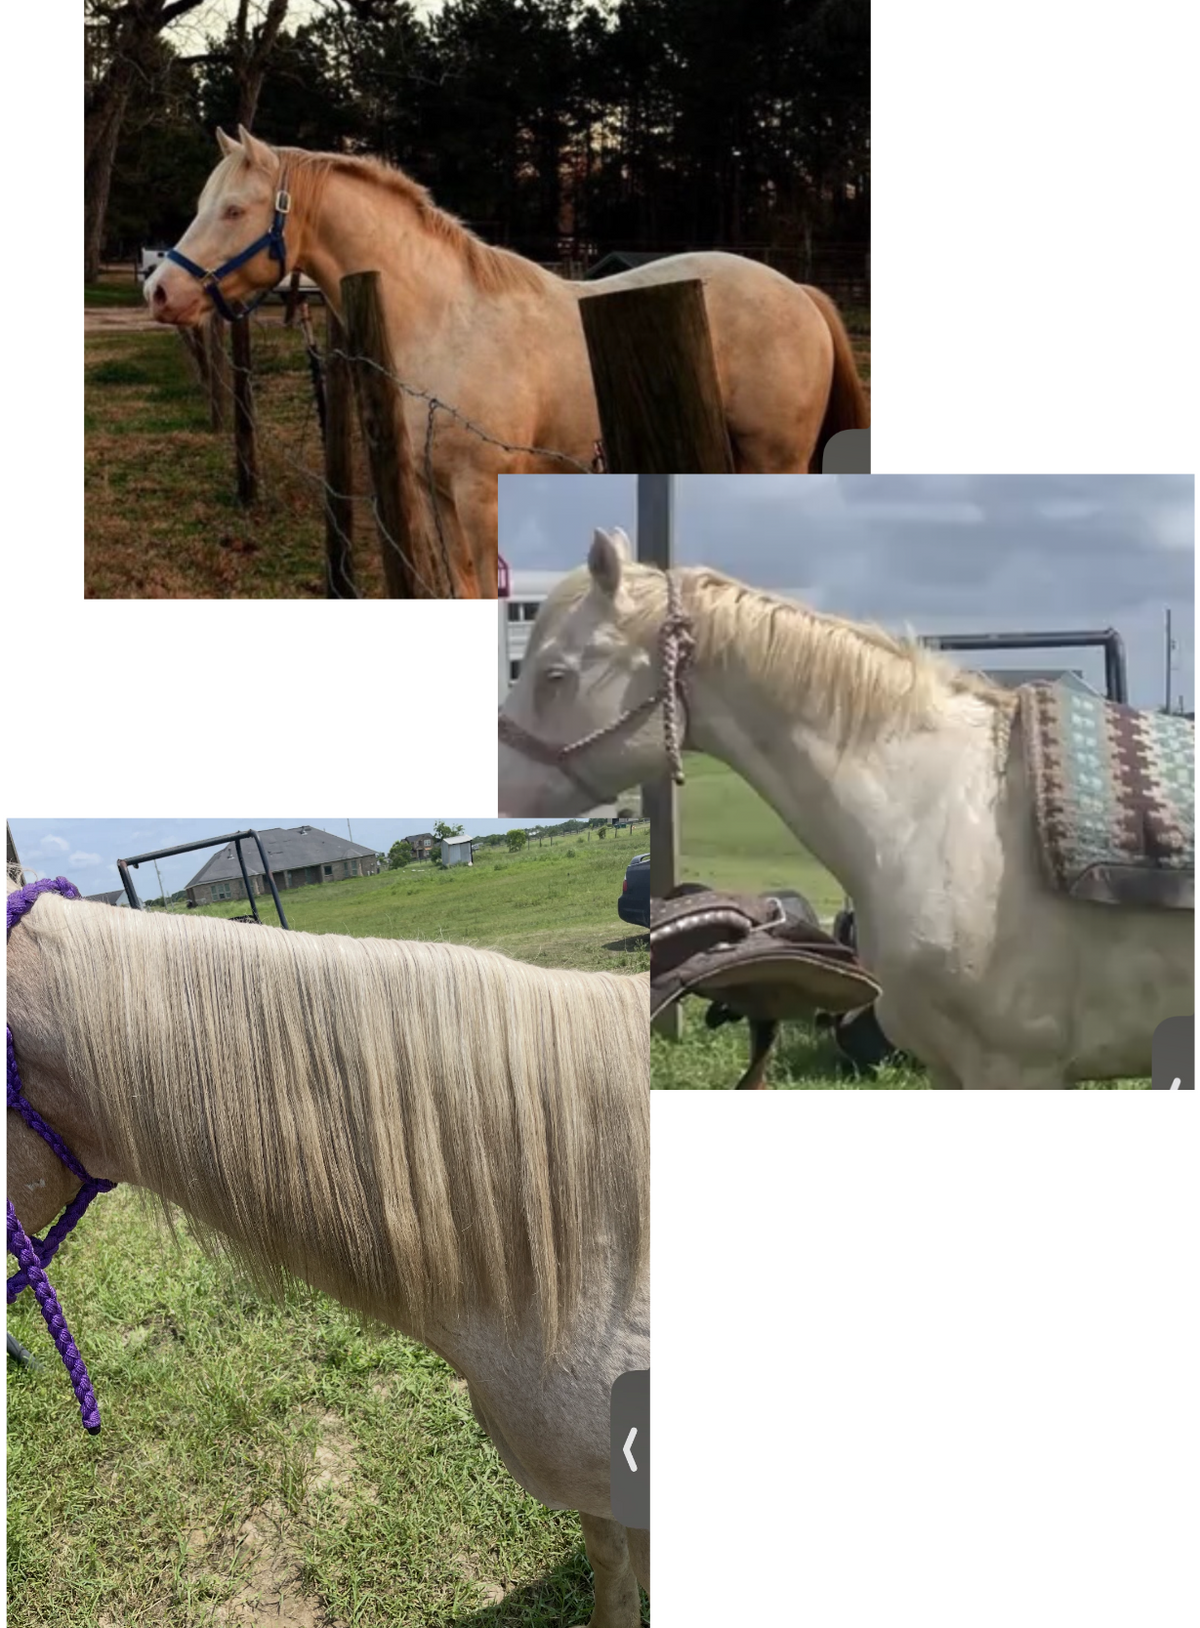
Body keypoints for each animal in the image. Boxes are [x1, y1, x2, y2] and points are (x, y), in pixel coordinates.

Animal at [146, 125, 869, 598]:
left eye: (234, 210)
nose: (160, 291)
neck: (446, 318)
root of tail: (799, 293)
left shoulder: (479, 491)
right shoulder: (435, 493)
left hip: (775, 458)